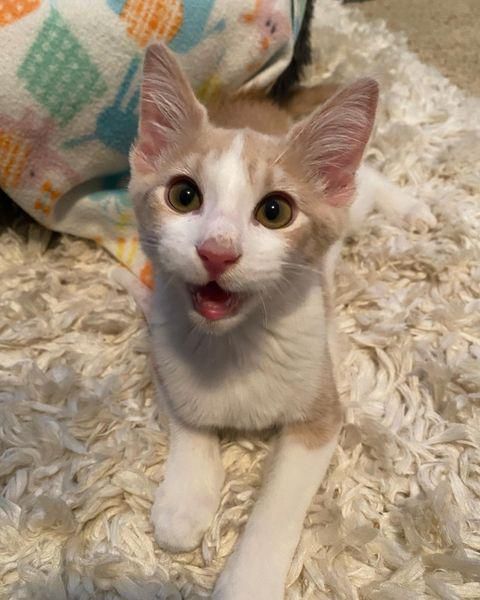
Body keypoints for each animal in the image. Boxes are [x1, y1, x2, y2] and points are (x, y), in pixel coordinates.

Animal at [127, 43, 436, 600]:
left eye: (275, 211)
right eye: (183, 196)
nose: (217, 251)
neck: (232, 345)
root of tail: (259, 103)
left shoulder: (322, 406)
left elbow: (279, 502)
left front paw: (246, 580)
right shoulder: (159, 335)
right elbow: (185, 411)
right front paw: (185, 501)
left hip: (349, 200)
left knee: (369, 180)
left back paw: (409, 206)